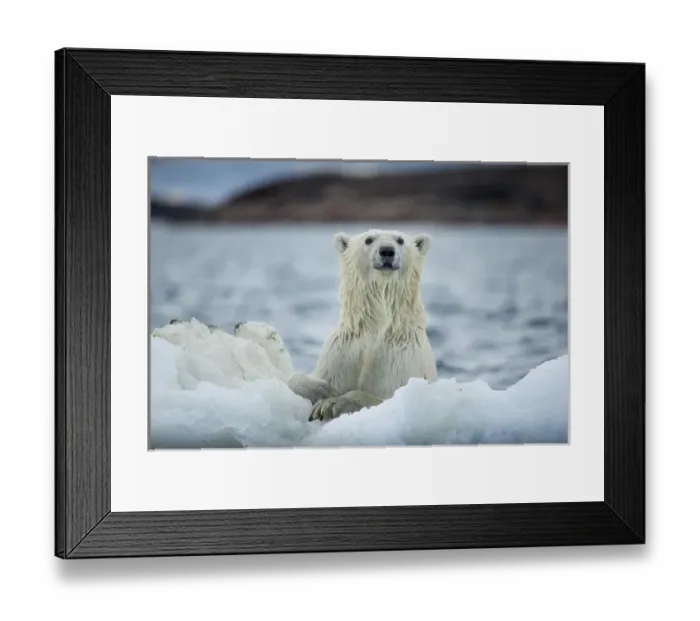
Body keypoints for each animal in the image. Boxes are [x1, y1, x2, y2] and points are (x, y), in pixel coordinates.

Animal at [287, 229, 437, 422]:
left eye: (400, 240)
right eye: (369, 239)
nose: (387, 251)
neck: (377, 327)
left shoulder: (401, 359)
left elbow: (382, 397)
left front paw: (331, 404)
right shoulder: (342, 350)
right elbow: (297, 379)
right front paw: (323, 390)